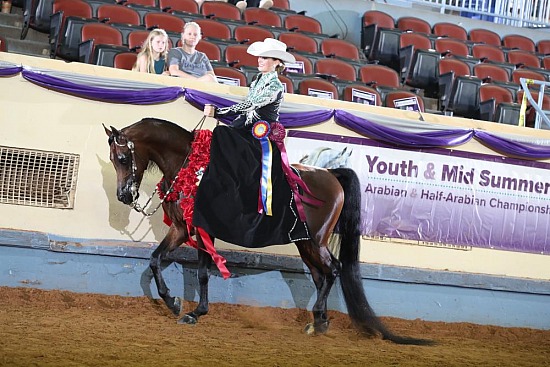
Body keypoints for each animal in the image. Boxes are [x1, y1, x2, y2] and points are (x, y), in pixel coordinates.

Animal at [102, 117, 432, 344]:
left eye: (123, 157)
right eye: (113, 159)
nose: (124, 196)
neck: (191, 168)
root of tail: (329, 174)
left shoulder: (203, 230)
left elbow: (203, 272)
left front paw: (196, 313)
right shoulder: (183, 230)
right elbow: (155, 260)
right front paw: (172, 303)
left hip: (315, 240)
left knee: (334, 269)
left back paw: (319, 321)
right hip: (304, 243)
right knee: (321, 275)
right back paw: (318, 321)